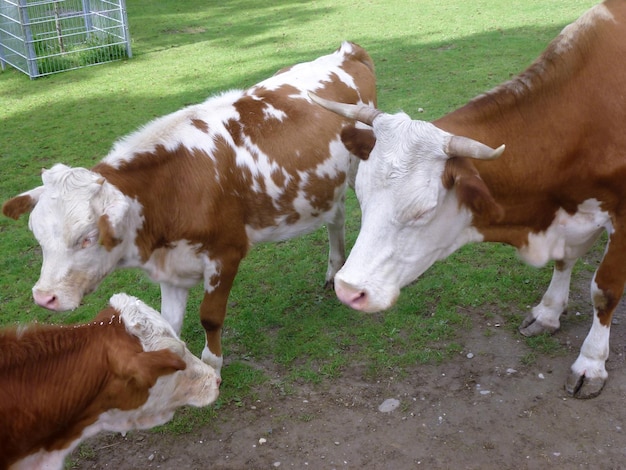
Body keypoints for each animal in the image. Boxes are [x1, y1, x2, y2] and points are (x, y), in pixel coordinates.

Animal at [1, 41, 376, 378]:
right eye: (38, 238)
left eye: (87, 237)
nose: (44, 298)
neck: (172, 188)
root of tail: (346, 50)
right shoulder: (171, 266)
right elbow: (167, 324)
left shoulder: (227, 253)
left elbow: (210, 316)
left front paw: (213, 366)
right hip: (328, 185)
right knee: (336, 218)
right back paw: (333, 269)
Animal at [310, 0, 624, 398]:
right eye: (361, 194)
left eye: (424, 209)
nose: (348, 290)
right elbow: (565, 261)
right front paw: (548, 312)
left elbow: (605, 289)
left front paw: (591, 361)